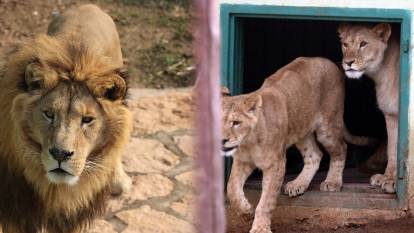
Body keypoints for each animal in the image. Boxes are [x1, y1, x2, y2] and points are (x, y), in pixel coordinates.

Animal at [0, 4, 132, 233]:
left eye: (87, 119)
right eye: (48, 114)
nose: (60, 154)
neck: (55, 189)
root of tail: (89, 6)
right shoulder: (18, 209)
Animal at [223, 57, 372, 233]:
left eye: (236, 123)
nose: (222, 140)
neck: (248, 142)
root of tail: (328, 61)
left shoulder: (276, 165)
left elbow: (266, 201)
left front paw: (260, 228)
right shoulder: (242, 162)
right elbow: (231, 189)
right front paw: (246, 210)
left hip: (327, 127)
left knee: (341, 148)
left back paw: (332, 182)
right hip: (301, 130)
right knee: (314, 155)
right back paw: (298, 184)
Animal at [338, 22, 400, 193]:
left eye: (363, 44)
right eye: (345, 44)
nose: (348, 62)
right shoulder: (391, 115)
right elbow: (393, 149)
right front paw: (388, 178)